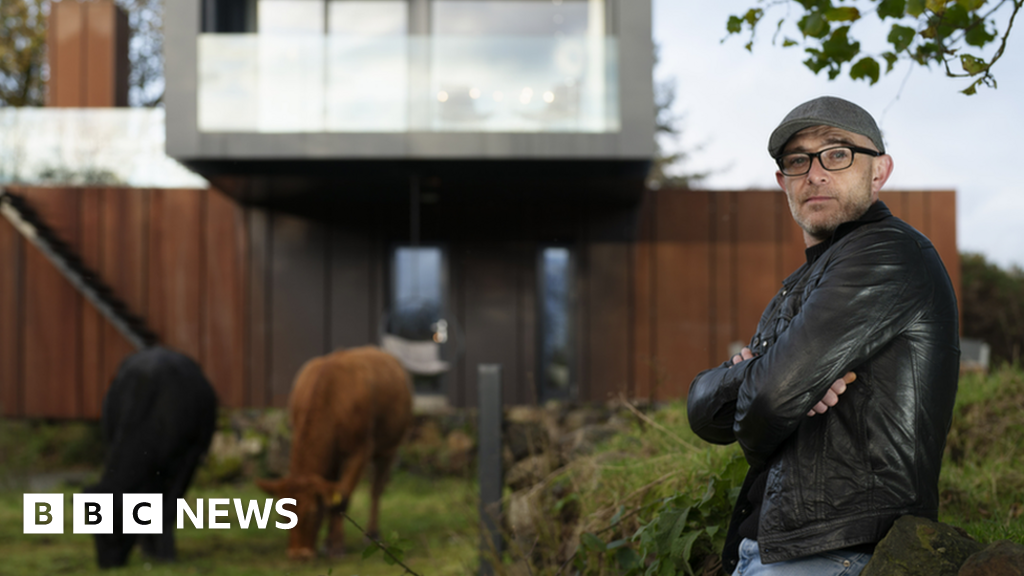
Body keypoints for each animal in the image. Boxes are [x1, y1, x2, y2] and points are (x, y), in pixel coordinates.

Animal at [84, 344, 218, 565]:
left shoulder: (189, 458)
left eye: (116, 528)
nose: (106, 564)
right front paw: (150, 551)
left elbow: (169, 507)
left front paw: (167, 555)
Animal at [256, 344, 411, 557]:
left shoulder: (359, 452)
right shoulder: (330, 459)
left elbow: (341, 498)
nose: (297, 554)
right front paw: (328, 542)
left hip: (389, 448)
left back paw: (373, 532)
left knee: (376, 489)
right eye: (283, 517)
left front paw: (336, 545)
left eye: (312, 513)